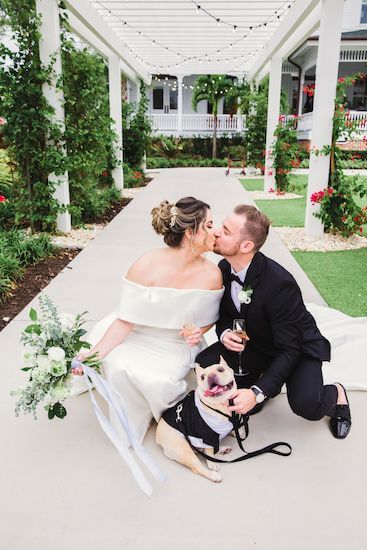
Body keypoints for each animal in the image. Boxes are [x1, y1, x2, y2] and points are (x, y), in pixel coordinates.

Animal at [197, 205, 352, 442]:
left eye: (225, 230)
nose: (216, 235)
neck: (243, 271)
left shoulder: (282, 296)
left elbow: (288, 347)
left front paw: (250, 398)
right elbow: (223, 320)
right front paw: (230, 339)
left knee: (308, 399)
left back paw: (341, 403)